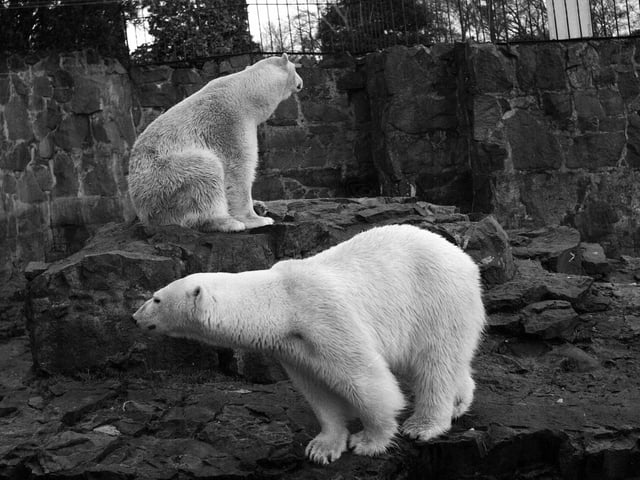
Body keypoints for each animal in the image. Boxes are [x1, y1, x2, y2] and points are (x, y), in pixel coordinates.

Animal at [128, 53, 303, 232]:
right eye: (295, 68)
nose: (301, 82)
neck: (247, 92)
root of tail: (142, 212)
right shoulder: (229, 122)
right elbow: (238, 168)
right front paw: (258, 219)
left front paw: (259, 208)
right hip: (164, 177)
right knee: (204, 172)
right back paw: (227, 222)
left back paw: (259, 205)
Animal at [132, 224, 486, 464]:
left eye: (156, 298)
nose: (135, 317)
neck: (283, 301)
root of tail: (466, 260)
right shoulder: (291, 347)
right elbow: (318, 390)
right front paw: (322, 447)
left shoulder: (325, 316)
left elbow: (366, 380)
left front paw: (368, 441)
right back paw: (458, 402)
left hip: (436, 299)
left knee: (434, 362)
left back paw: (424, 424)